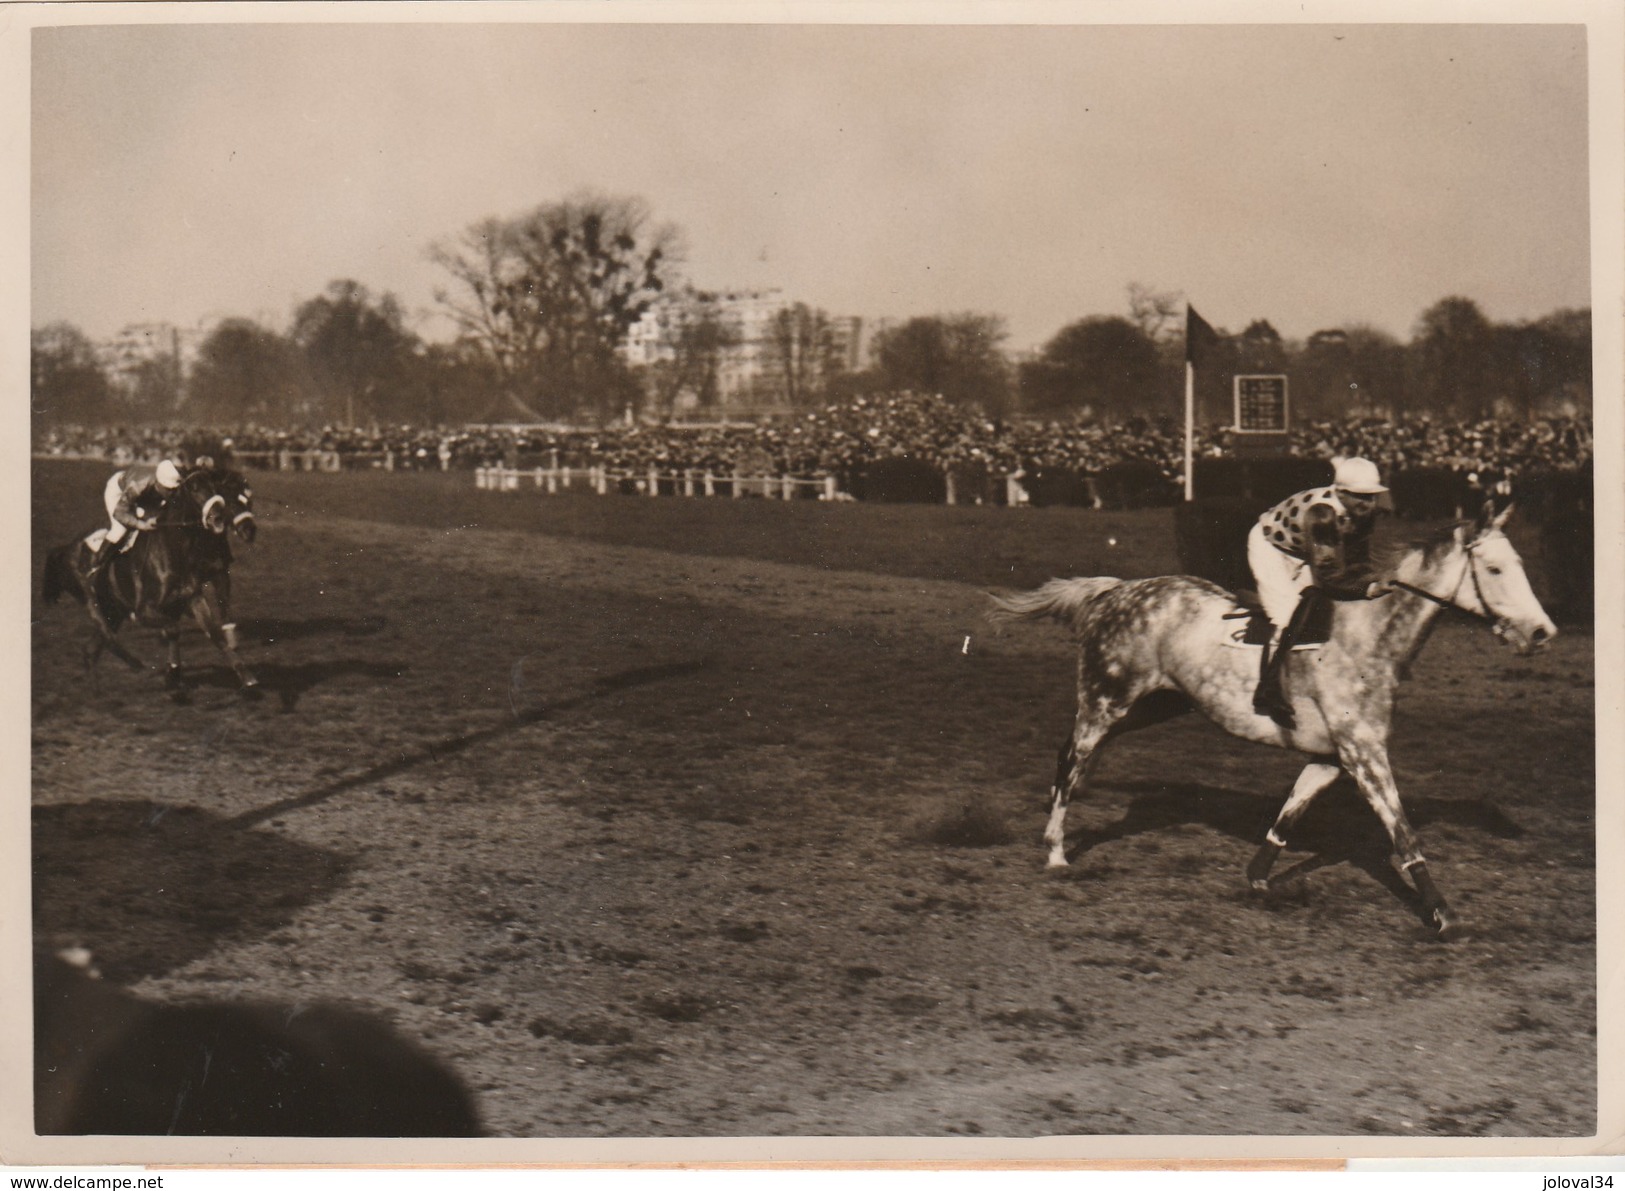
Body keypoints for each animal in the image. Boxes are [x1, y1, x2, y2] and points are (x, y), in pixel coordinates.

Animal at [41, 461, 260, 688]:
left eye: (215, 489)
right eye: (194, 489)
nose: (248, 529)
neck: (175, 550)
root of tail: (65, 549)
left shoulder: (199, 591)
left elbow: (215, 631)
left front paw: (246, 675)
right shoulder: (144, 610)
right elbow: (173, 628)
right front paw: (173, 673)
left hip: (114, 609)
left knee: (91, 649)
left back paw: (96, 685)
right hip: (93, 603)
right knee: (108, 638)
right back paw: (135, 664)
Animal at [988, 497, 1560, 935]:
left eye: (1520, 564)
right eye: (1495, 569)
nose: (1542, 632)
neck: (1370, 639)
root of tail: (1115, 591)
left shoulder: (1332, 756)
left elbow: (1288, 815)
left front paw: (1259, 879)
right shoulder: (1365, 753)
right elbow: (1403, 833)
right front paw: (1442, 914)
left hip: (1155, 704)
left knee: (1074, 755)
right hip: (1107, 699)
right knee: (1072, 757)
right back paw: (1055, 851)